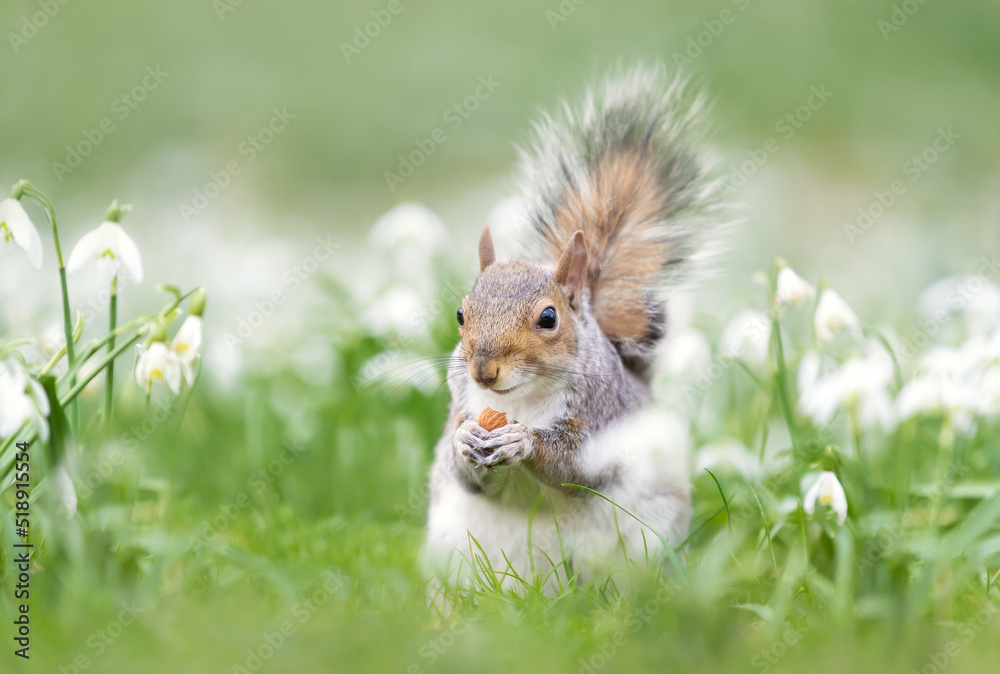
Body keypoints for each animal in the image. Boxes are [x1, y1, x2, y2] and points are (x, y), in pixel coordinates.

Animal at [425, 64, 721, 589]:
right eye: (461, 313)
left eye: (548, 318)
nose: (483, 371)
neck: (519, 400)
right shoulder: (460, 406)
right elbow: (463, 470)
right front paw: (465, 441)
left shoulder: (604, 419)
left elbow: (577, 463)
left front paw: (523, 440)